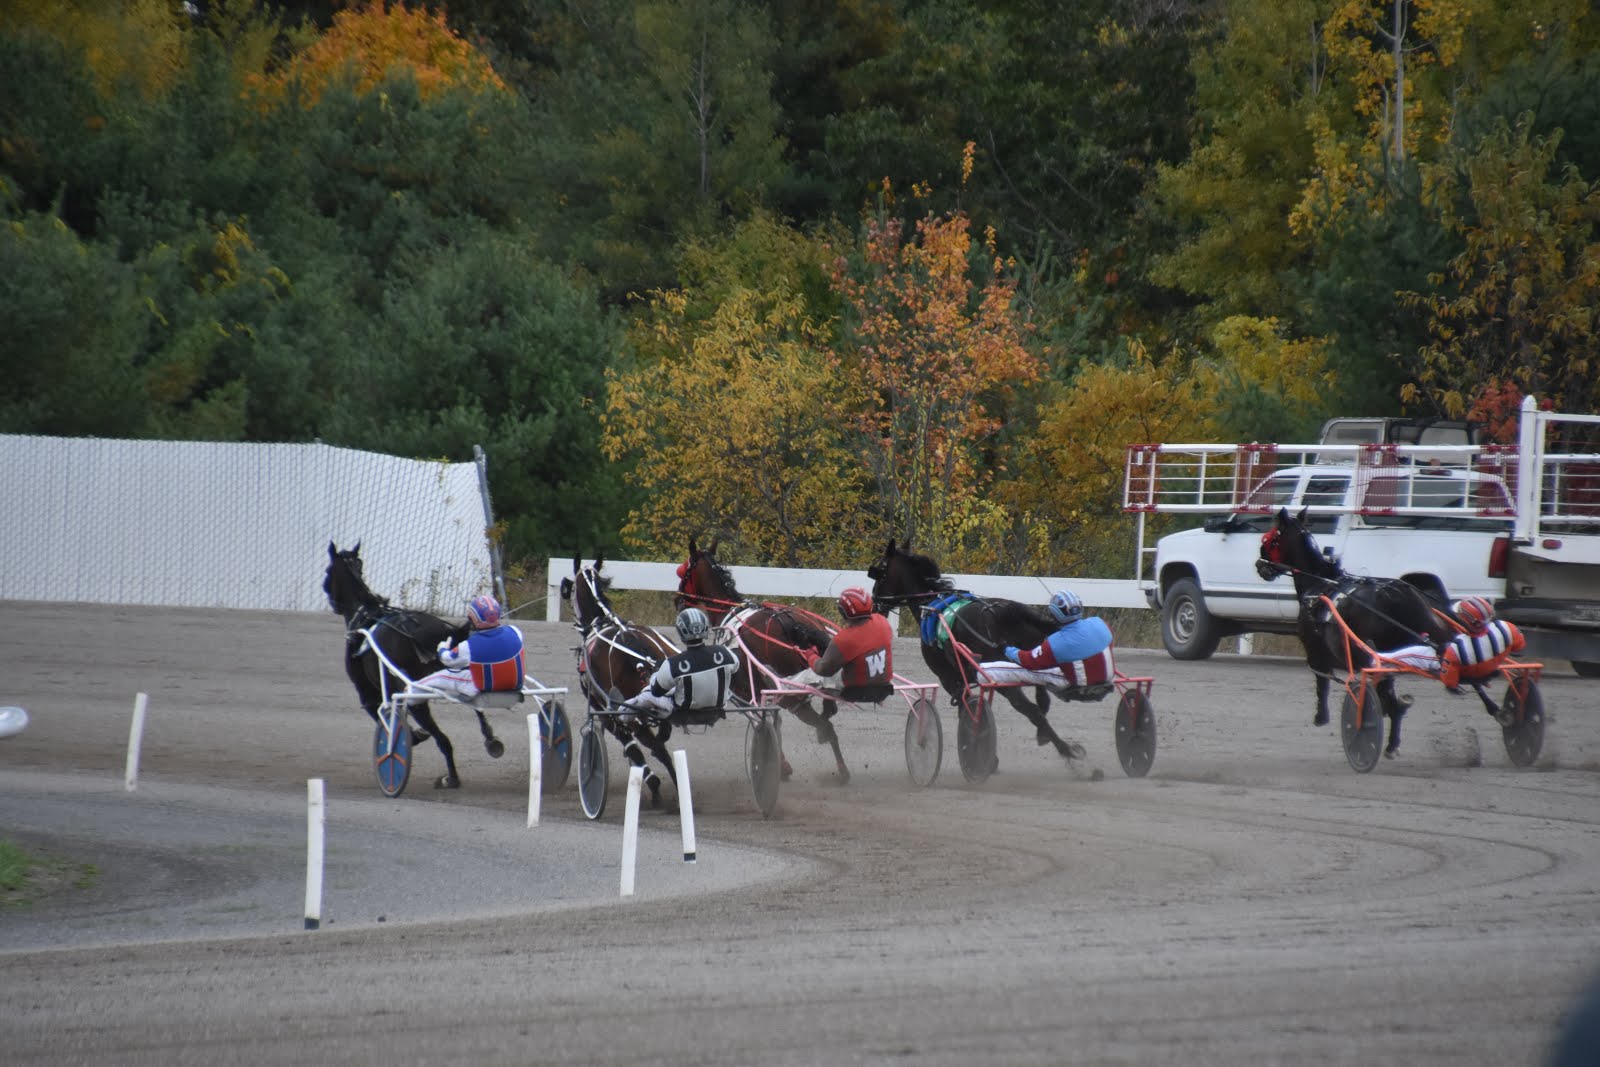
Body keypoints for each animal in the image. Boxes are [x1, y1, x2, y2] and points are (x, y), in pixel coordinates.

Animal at [320, 547, 505, 790]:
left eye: (328, 571)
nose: (330, 599)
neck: (365, 616)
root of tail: (425, 629)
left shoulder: (367, 692)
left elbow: (381, 715)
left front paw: (412, 736)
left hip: (416, 694)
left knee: (442, 739)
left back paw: (451, 777)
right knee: (476, 705)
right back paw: (490, 740)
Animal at [563, 556, 681, 806]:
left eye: (572, 588)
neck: (600, 622)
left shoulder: (605, 711)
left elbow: (633, 748)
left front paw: (653, 784)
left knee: (651, 743)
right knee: (660, 738)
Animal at [675, 537, 851, 780]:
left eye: (684, 571)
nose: (678, 600)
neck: (729, 612)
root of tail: (793, 624)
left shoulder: (746, 691)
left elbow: (763, 721)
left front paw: (779, 766)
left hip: (789, 693)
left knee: (820, 723)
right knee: (828, 718)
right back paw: (842, 768)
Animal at [864, 543, 1088, 767]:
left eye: (881, 574)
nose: (874, 603)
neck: (931, 604)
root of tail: (1007, 612)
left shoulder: (950, 679)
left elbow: (967, 711)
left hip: (1003, 679)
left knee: (1029, 708)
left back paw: (1067, 750)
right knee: (1041, 700)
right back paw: (1046, 732)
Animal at [1260, 508, 1452, 758]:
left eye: (1270, 538)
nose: (1260, 564)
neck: (1320, 585)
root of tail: (1398, 594)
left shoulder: (1315, 651)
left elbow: (1322, 682)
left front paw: (1321, 716)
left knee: (1392, 703)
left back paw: (1389, 742)